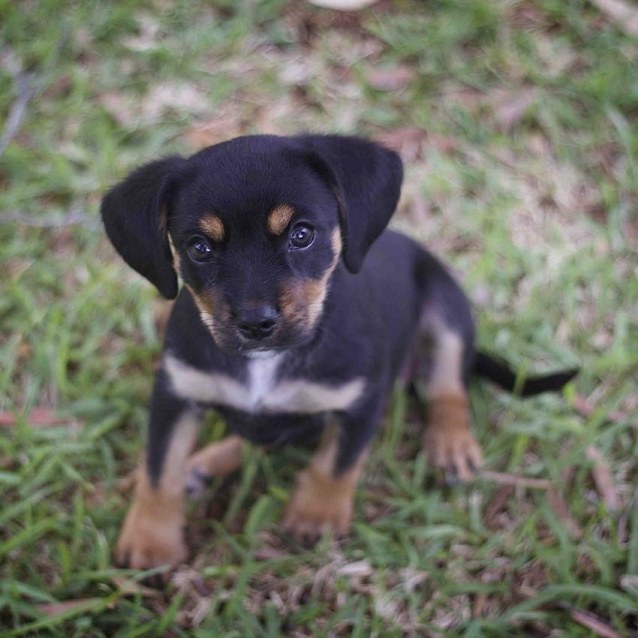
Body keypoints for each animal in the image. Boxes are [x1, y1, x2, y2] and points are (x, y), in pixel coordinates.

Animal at [101, 136, 580, 568]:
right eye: (198, 247)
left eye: (301, 234)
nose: (256, 324)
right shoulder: (175, 394)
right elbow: (159, 471)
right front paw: (151, 542)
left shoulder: (360, 400)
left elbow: (335, 464)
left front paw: (315, 517)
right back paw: (203, 465)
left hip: (446, 308)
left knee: (446, 385)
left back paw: (451, 442)